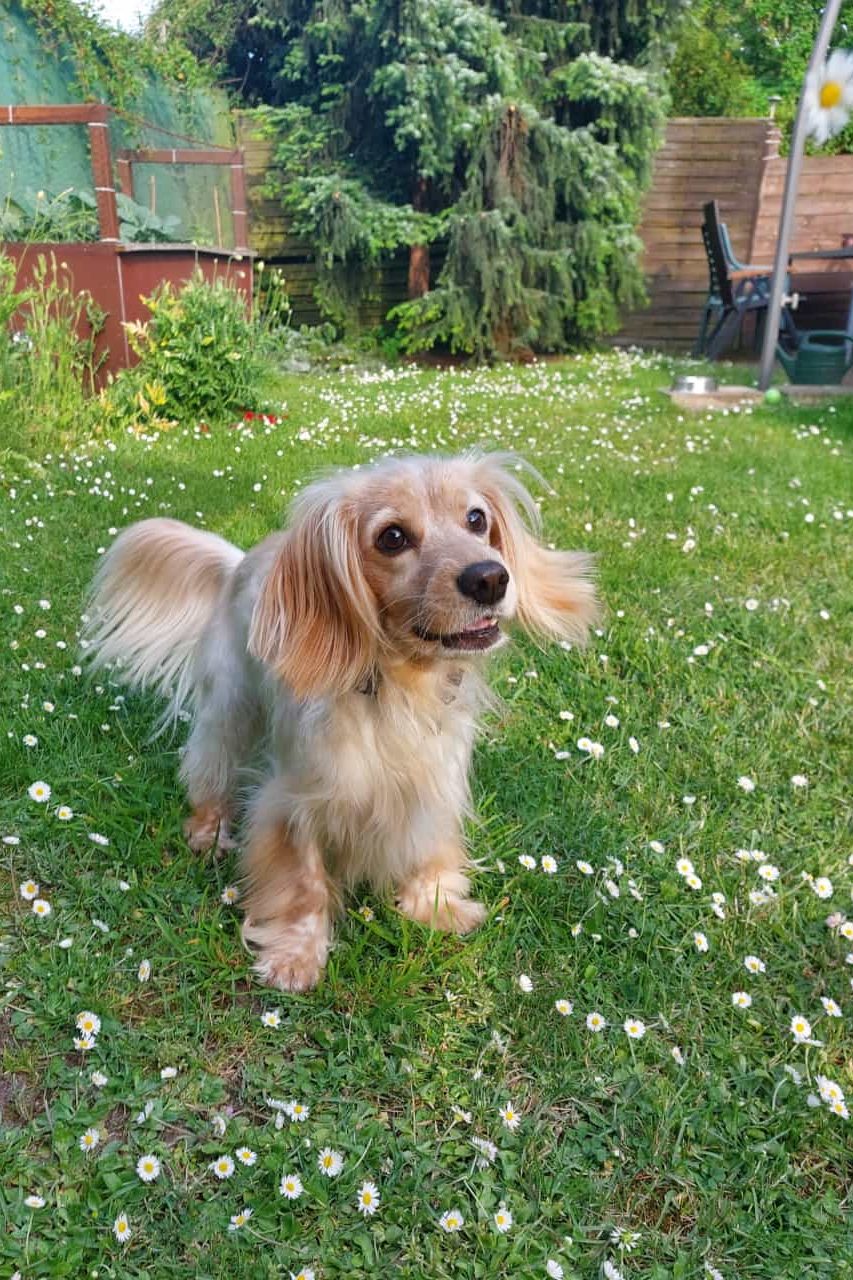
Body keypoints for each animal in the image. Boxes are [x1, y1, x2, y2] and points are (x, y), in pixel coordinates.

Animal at [83, 455, 594, 993]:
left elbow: (429, 848)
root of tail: (240, 560)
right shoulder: (294, 801)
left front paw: (435, 904)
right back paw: (208, 830)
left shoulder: (435, 783)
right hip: (229, 709)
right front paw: (296, 954)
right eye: (392, 537)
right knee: (208, 768)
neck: (398, 688)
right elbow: (302, 882)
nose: (490, 578)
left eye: (476, 519)